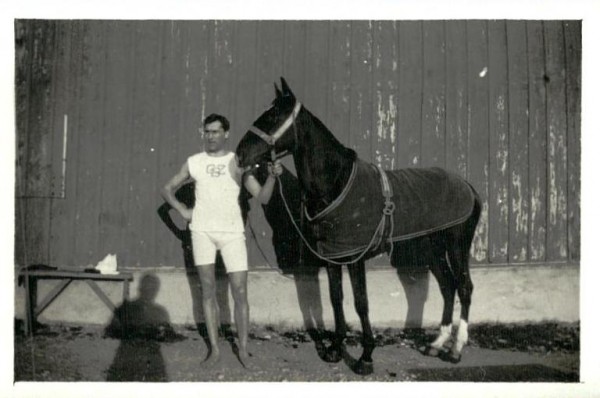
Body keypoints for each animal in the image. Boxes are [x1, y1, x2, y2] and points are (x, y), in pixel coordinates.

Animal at [234, 77, 482, 374]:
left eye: (273, 116)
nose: (240, 154)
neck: (337, 183)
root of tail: (468, 187)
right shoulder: (333, 256)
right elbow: (336, 299)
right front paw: (334, 349)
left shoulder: (355, 257)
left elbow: (361, 302)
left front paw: (365, 357)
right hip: (433, 249)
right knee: (447, 286)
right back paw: (436, 344)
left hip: (457, 246)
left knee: (464, 287)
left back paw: (456, 349)